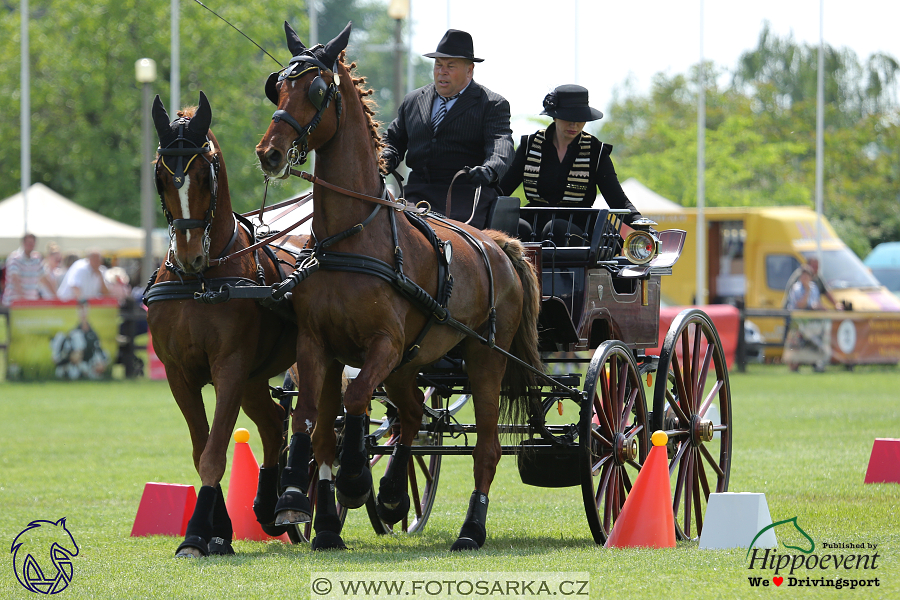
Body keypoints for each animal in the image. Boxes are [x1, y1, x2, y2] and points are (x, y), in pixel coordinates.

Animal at [148, 92, 310, 556]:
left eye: (205, 173)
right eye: (161, 176)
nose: (188, 256)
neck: (201, 283)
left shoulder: (230, 368)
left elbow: (215, 451)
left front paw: (196, 533)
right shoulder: (179, 374)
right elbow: (201, 447)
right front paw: (217, 529)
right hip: (255, 378)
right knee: (274, 423)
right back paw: (267, 506)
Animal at [253, 22, 540, 548]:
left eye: (318, 89)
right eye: (277, 86)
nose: (270, 153)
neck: (351, 238)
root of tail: (497, 242)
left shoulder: (383, 344)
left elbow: (354, 400)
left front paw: (352, 480)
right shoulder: (317, 344)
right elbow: (311, 418)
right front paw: (301, 502)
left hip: (483, 360)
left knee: (486, 447)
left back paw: (470, 528)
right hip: (413, 362)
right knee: (412, 416)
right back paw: (391, 494)